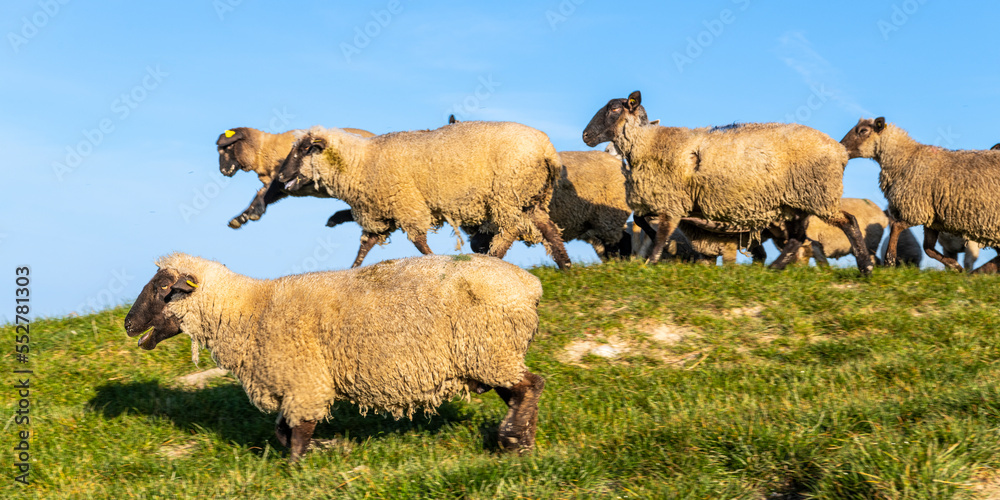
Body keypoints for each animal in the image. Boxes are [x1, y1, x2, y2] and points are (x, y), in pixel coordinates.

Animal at [123, 252, 546, 461]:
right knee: (522, 390)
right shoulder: (294, 385)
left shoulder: (305, 382)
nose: (128, 324)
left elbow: (295, 435)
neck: (249, 311)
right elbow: (282, 431)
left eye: (162, 288)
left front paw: (299, 468)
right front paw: (329, 449)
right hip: (491, 356)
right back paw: (521, 441)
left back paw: (514, 441)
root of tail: (531, 285)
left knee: (531, 386)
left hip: (489, 350)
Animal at [217, 127, 375, 229]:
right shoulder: (284, 185)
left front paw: (253, 213)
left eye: (227, 147)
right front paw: (242, 218)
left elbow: (263, 194)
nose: (223, 171)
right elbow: (264, 195)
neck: (263, 150)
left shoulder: (282, 178)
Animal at [277, 123, 571, 269]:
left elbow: (418, 242)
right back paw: (565, 263)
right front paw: (353, 269)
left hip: (507, 193)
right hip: (530, 196)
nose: (280, 178)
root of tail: (547, 150)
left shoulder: (406, 204)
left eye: (305, 149)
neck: (360, 163)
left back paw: (494, 258)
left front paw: (432, 259)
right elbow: (366, 244)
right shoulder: (380, 213)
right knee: (546, 225)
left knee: (510, 229)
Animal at [582, 90, 873, 276]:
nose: (585, 135)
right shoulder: (662, 199)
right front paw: (661, 250)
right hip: (795, 202)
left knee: (847, 221)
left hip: (817, 194)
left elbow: (662, 231)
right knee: (798, 237)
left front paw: (652, 260)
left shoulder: (671, 199)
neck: (648, 142)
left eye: (615, 108)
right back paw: (775, 268)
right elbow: (641, 220)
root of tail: (839, 151)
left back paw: (866, 267)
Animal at [840, 117, 1000, 273]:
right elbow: (928, 249)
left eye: (863, 130)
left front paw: (889, 261)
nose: (841, 147)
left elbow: (896, 227)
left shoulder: (916, 209)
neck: (905, 159)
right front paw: (955, 266)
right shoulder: (933, 218)